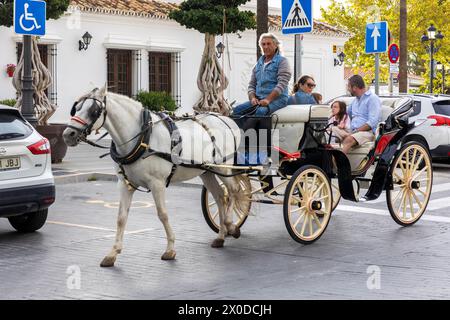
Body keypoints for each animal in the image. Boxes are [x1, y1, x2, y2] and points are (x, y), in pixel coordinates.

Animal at [62, 85, 250, 268]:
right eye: (76, 108)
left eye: (93, 110)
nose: (67, 134)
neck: (142, 138)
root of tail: (226, 119)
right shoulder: (124, 184)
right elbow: (121, 218)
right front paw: (112, 253)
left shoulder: (157, 184)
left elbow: (162, 214)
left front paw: (170, 249)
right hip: (206, 171)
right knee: (220, 196)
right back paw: (221, 236)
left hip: (223, 167)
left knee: (233, 191)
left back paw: (231, 226)